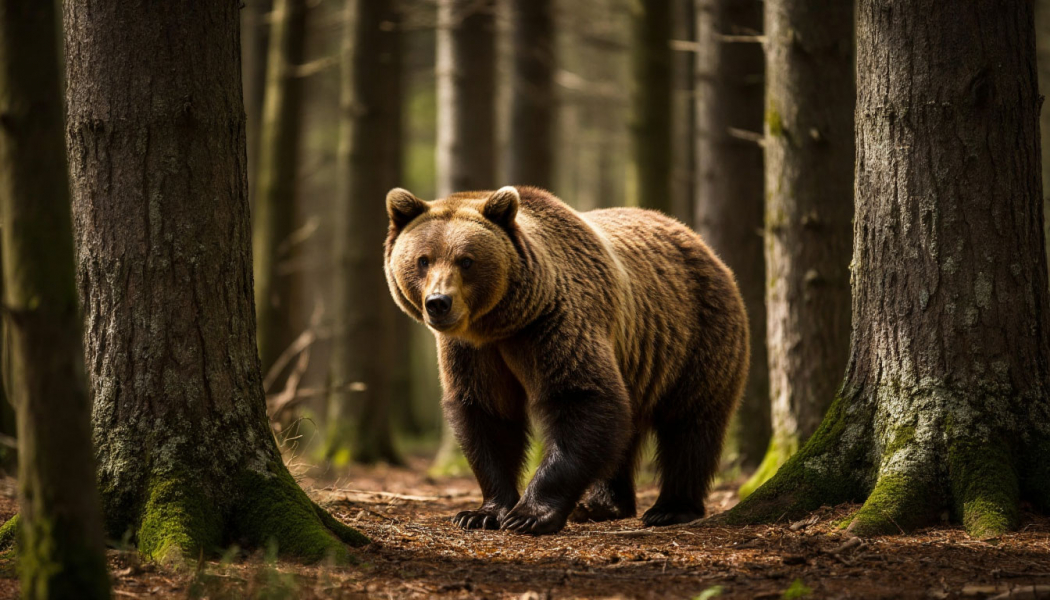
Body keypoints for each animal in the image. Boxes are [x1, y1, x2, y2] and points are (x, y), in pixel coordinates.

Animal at [384, 185, 749, 534]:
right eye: (423, 260)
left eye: (466, 260)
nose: (438, 303)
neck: (500, 324)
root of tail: (699, 241)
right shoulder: (473, 351)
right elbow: (487, 415)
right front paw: (481, 513)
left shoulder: (553, 322)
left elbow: (582, 398)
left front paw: (529, 515)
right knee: (628, 429)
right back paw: (601, 505)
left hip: (696, 334)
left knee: (690, 423)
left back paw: (670, 508)